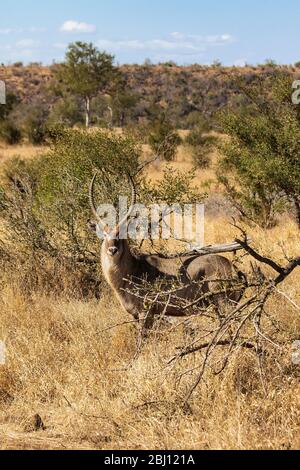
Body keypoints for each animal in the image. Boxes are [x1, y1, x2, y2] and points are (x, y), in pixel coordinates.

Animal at [89, 173, 241, 324]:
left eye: (121, 233)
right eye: (104, 234)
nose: (112, 250)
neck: (132, 270)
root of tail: (231, 266)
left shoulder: (146, 312)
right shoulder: (135, 316)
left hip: (224, 303)